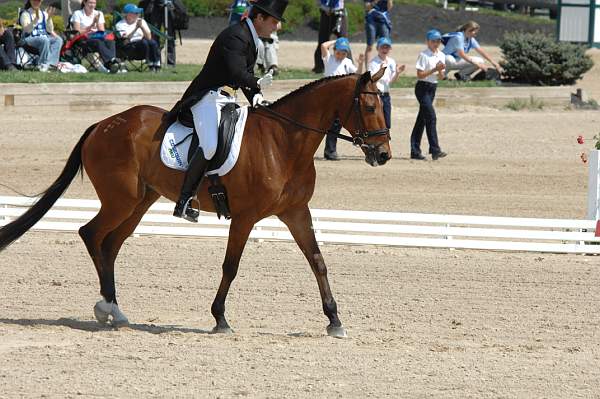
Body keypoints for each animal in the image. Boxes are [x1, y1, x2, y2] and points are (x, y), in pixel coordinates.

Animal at [0, 69, 392, 338]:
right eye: (370, 105)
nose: (383, 155)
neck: (284, 142)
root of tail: (102, 124)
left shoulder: (295, 212)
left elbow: (318, 262)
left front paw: (335, 320)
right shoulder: (245, 216)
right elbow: (230, 266)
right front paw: (220, 318)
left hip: (141, 200)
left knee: (110, 244)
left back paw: (116, 311)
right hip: (120, 199)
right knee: (90, 234)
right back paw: (106, 306)